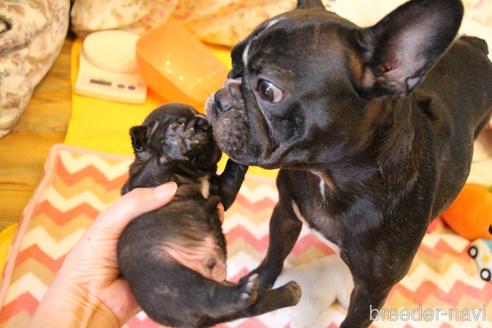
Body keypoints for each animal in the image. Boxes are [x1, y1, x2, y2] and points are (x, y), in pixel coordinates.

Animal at [117, 103, 300, 328]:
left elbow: (233, 173)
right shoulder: (141, 185)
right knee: (209, 297)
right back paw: (246, 291)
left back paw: (288, 292)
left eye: (202, 115)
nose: (205, 123)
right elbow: (156, 165)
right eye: (176, 125)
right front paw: (176, 145)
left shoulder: (223, 191)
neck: (195, 173)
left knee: (249, 305)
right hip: (169, 276)